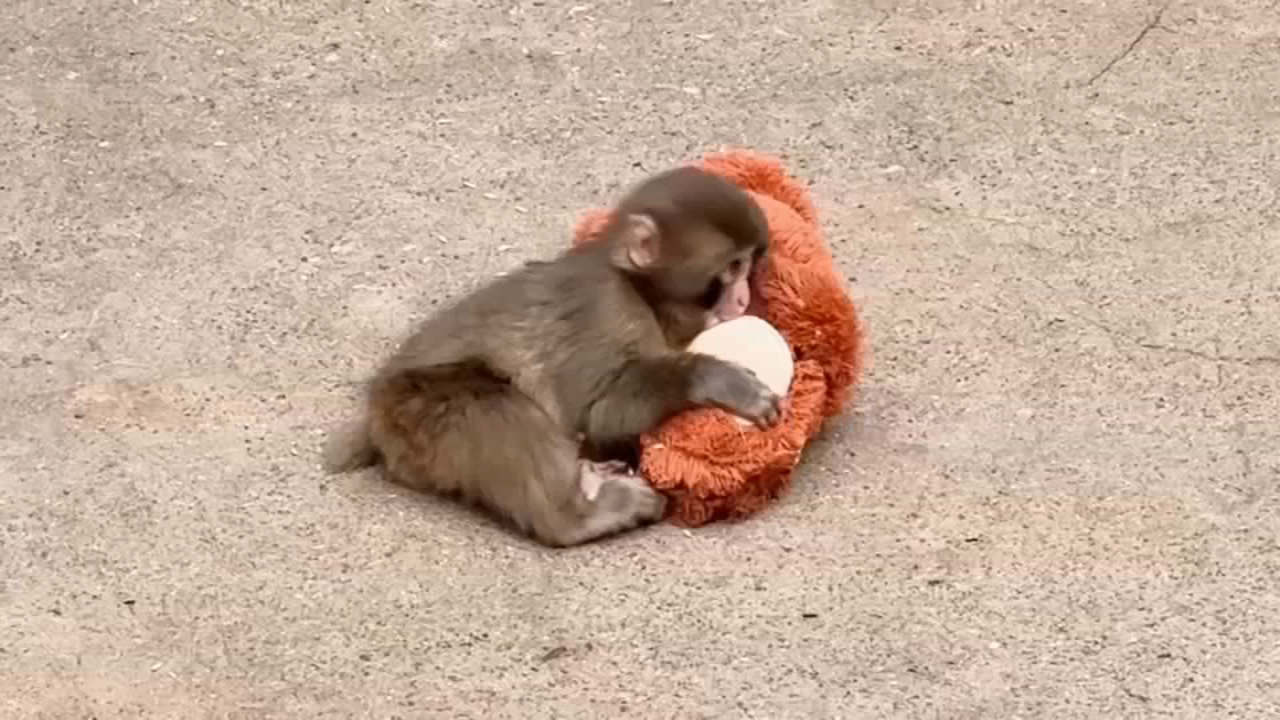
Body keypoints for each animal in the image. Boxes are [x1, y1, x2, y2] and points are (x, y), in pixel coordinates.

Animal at [322, 166, 779, 547]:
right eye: (732, 266)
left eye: (750, 263)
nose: (744, 299)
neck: (644, 294)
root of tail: (374, 419)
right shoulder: (608, 311)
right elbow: (600, 414)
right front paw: (716, 380)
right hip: (416, 412)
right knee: (494, 407)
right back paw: (578, 518)